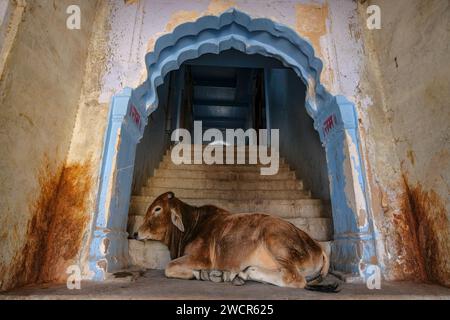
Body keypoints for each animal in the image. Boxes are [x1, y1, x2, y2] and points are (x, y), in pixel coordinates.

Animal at [135, 191, 340, 292]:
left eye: (157, 209)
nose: (136, 233)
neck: (192, 225)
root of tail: (319, 247)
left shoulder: (201, 258)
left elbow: (169, 268)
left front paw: (205, 275)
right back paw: (242, 274)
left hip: (275, 240)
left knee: (295, 279)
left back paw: (242, 273)